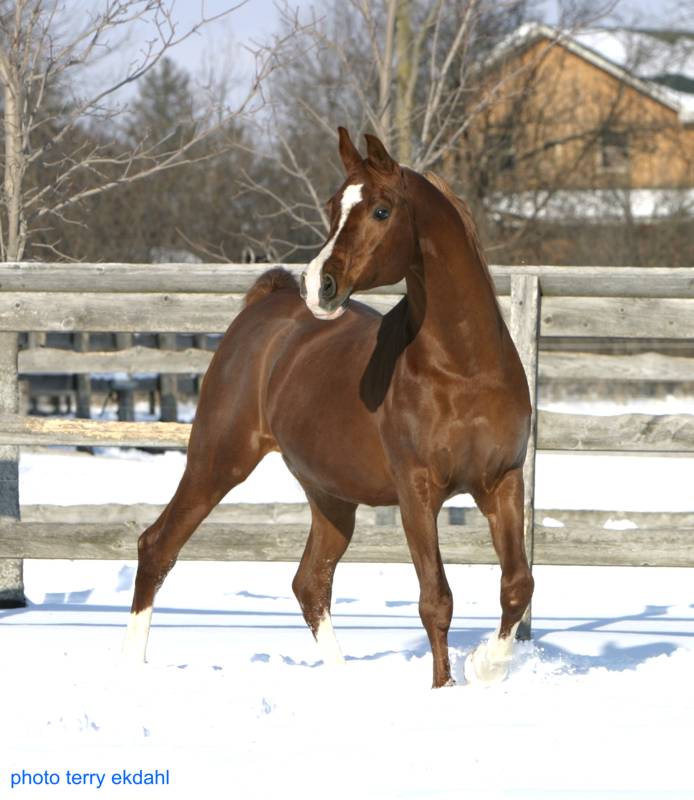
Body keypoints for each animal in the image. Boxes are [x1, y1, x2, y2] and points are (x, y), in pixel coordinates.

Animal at [125, 126, 536, 688]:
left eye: (382, 210)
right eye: (331, 205)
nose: (318, 285)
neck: (464, 368)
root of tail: (263, 307)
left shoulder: (502, 481)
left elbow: (517, 585)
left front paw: (485, 666)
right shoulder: (417, 491)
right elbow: (436, 600)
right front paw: (445, 687)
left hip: (330, 495)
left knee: (310, 582)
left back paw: (343, 679)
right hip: (217, 462)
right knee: (158, 546)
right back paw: (129, 667)